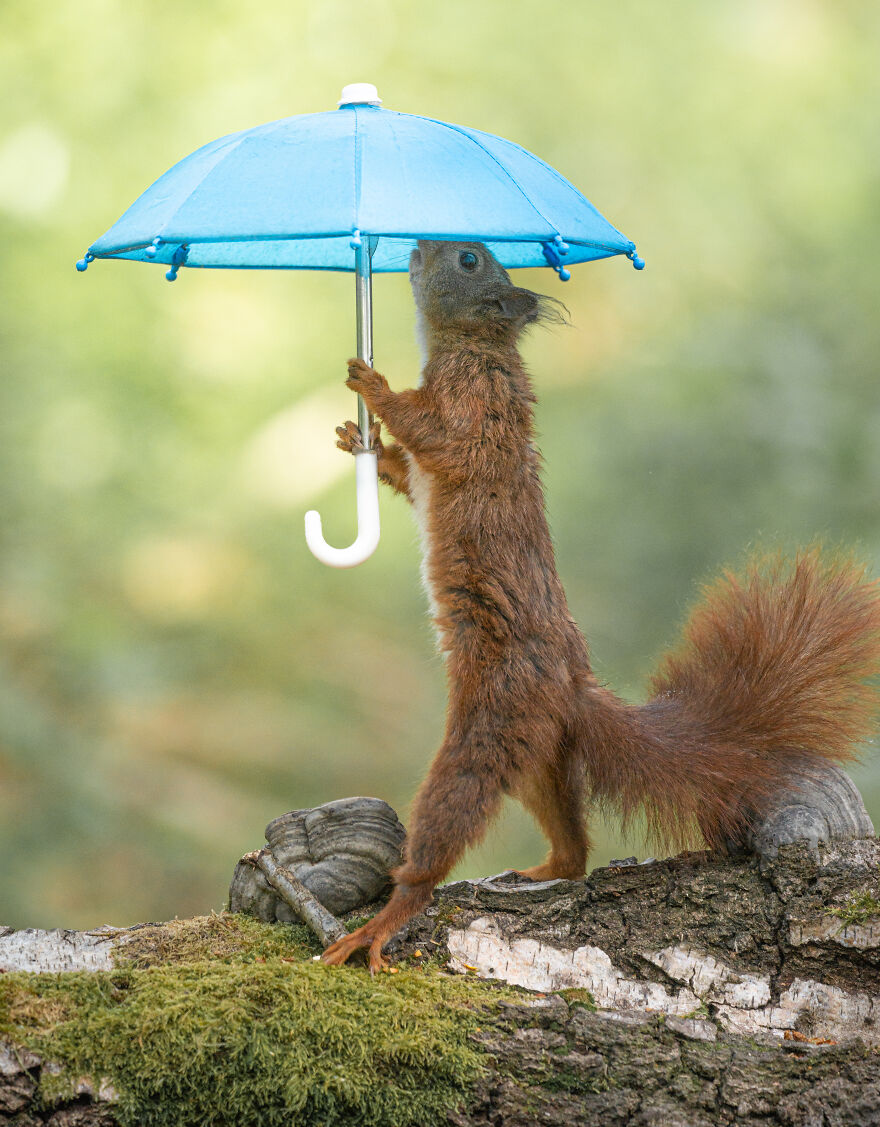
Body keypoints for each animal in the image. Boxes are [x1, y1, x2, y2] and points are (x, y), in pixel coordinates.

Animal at [321, 240, 880, 972]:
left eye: (470, 258)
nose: (416, 246)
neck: (479, 344)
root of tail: (573, 684)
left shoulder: (478, 409)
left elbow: (441, 438)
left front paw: (374, 387)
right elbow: (408, 474)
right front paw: (358, 441)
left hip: (490, 724)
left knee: (446, 831)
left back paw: (384, 920)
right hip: (536, 750)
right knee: (574, 847)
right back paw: (542, 869)